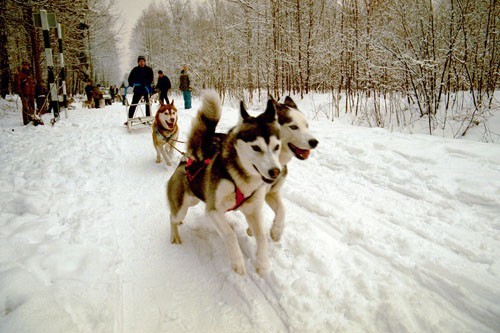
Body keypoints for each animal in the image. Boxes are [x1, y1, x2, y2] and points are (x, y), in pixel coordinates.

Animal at [167, 89, 282, 274]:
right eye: (256, 147)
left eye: (276, 147)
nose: (275, 171)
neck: (240, 178)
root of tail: (188, 159)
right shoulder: (213, 210)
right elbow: (229, 234)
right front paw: (238, 262)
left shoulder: (253, 210)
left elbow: (262, 236)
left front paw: (263, 263)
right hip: (182, 208)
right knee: (172, 218)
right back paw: (175, 235)